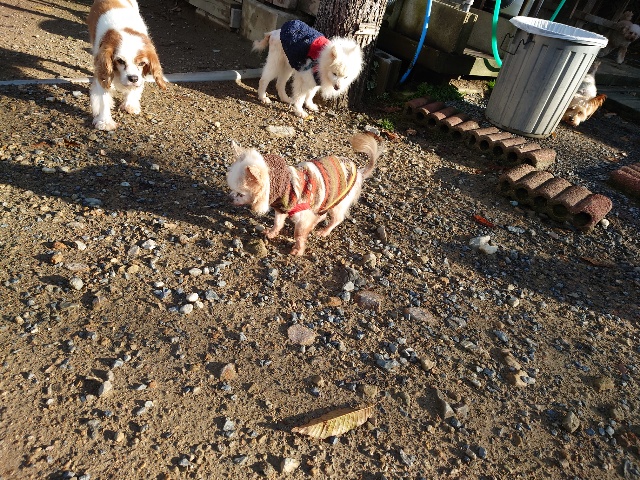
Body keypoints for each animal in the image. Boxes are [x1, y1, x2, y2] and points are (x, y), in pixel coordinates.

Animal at [87, 0, 167, 131]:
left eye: (142, 63)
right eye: (120, 61)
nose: (133, 78)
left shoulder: (140, 74)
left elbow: (135, 88)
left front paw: (130, 104)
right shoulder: (102, 70)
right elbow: (103, 98)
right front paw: (105, 122)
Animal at [227, 133, 382, 256]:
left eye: (240, 194)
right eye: (232, 190)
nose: (230, 198)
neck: (285, 187)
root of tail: (360, 172)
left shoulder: (302, 216)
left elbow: (299, 234)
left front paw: (298, 250)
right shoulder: (282, 209)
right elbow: (278, 223)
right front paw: (271, 233)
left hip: (338, 203)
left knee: (336, 219)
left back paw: (324, 231)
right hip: (325, 200)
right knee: (321, 215)